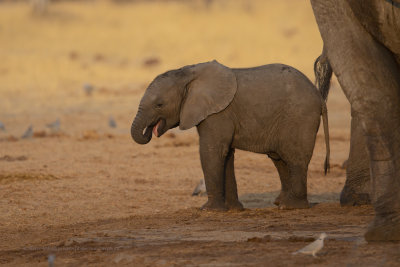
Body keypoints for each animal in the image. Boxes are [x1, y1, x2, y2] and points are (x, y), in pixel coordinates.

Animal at [133, 60, 330, 211]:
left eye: (159, 105)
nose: (150, 131)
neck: (188, 73)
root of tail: (320, 97)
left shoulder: (218, 113)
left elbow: (211, 152)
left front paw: (208, 210)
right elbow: (226, 155)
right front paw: (233, 210)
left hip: (299, 116)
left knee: (294, 157)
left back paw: (291, 207)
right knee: (279, 158)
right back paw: (280, 203)